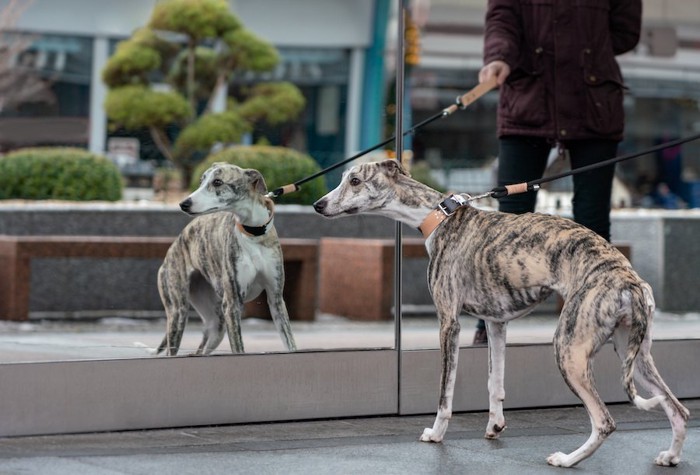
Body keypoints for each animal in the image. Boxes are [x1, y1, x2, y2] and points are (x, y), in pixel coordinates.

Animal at [154, 162, 296, 356]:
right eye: (201, 181)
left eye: (218, 182)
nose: (183, 204)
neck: (253, 234)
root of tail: (172, 248)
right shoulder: (232, 304)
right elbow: (238, 347)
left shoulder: (276, 300)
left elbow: (291, 344)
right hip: (178, 312)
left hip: (216, 326)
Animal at [314, 160, 688, 468]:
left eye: (356, 180)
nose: (318, 205)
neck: (439, 217)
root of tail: (629, 280)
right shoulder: (495, 324)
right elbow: (495, 382)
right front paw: (495, 425)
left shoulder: (449, 322)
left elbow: (445, 391)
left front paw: (436, 433)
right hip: (635, 353)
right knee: (678, 408)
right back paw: (670, 456)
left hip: (569, 349)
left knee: (605, 421)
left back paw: (566, 460)